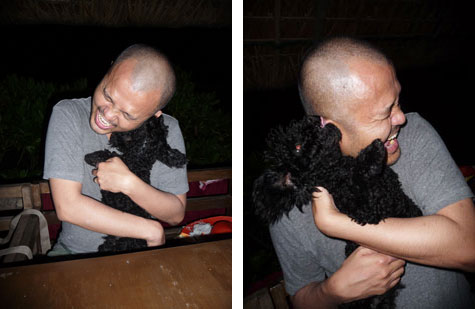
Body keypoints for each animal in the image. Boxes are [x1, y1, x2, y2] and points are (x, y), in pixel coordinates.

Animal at [255, 115, 422, 308]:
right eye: (297, 147)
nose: (314, 119)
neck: (337, 171)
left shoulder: (396, 195)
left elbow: (411, 208)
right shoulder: (368, 210)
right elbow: (363, 176)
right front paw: (371, 153)